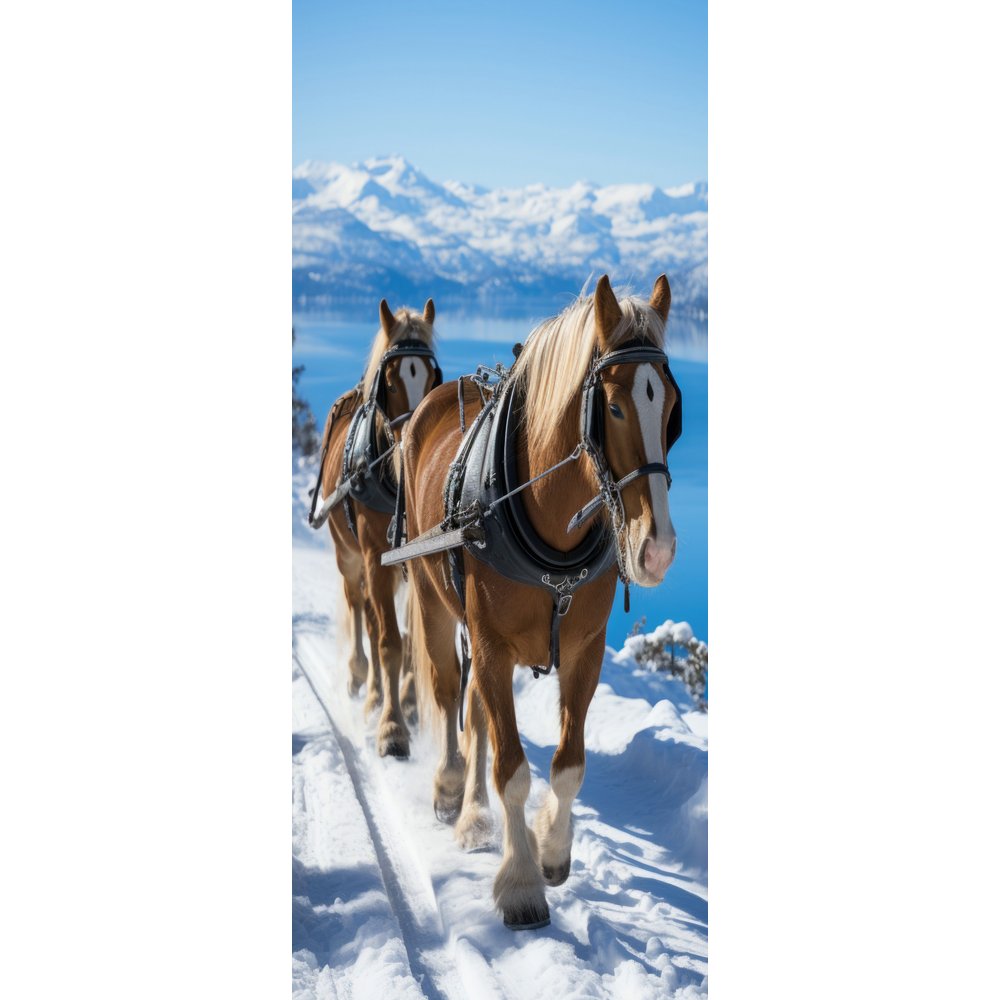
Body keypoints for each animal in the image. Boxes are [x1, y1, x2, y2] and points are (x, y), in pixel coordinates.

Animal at [315, 297, 440, 758]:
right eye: (390, 380)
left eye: (432, 375)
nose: (415, 443)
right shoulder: (373, 556)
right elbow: (387, 641)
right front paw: (391, 728)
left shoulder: (415, 559)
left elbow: (411, 639)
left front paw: (409, 702)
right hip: (350, 556)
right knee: (360, 609)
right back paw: (361, 682)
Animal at [402, 274, 680, 928]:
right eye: (613, 406)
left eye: (672, 408)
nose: (656, 549)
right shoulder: (491, 643)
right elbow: (511, 770)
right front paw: (522, 884)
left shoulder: (585, 649)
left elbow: (567, 765)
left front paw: (552, 850)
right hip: (434, 600)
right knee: (450, 693)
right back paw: (452, 790)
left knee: (477, 712)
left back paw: (475, 815)